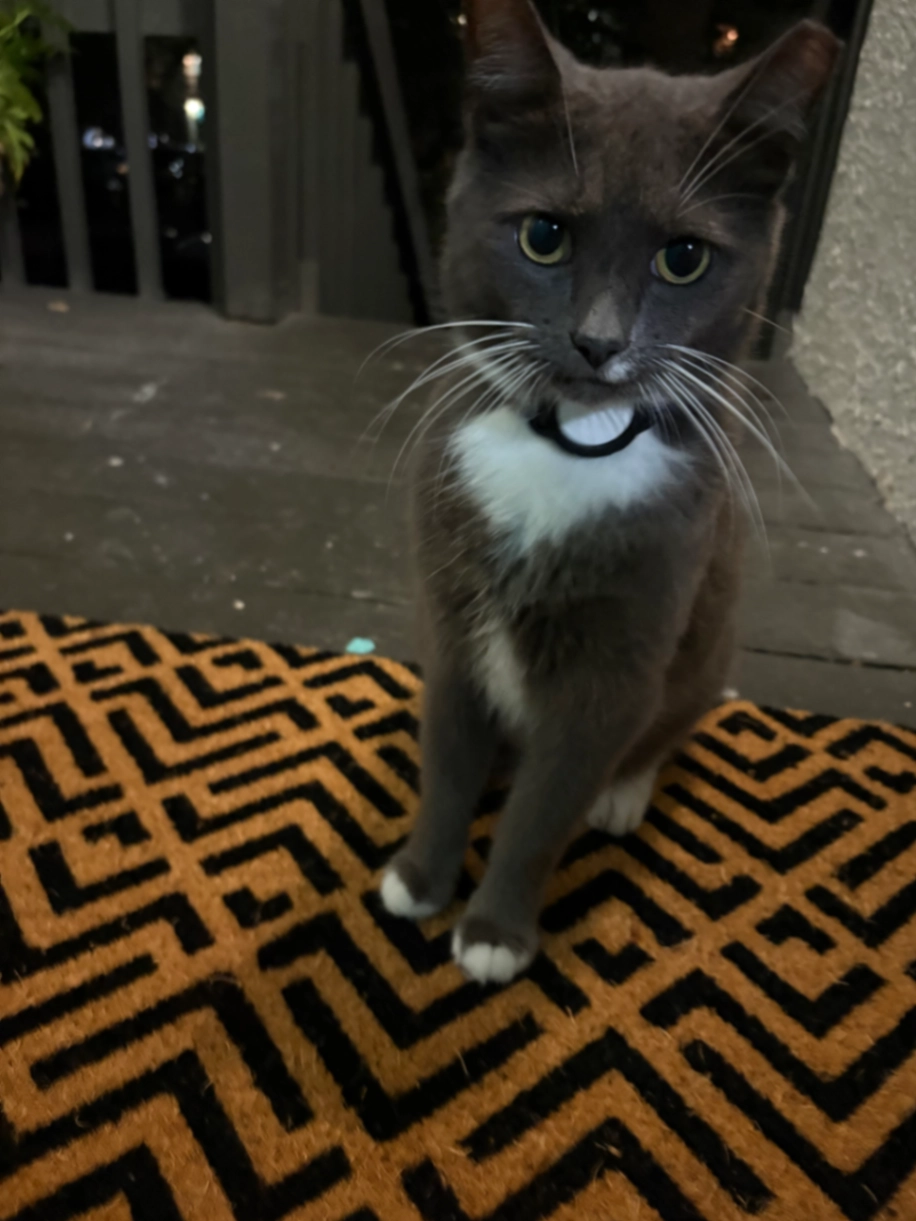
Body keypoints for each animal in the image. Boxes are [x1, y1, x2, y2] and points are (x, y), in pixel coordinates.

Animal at [380, 0, 840, 984]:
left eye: (685, 258)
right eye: (543, 235)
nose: (599, 342)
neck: (568, 448)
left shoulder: (624, 654)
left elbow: (548, 802)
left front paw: (494, 932)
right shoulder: (449, 608)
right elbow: (450, 752)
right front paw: (421, 876)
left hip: (709, 651)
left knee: (666, 729)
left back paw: (626, 792)